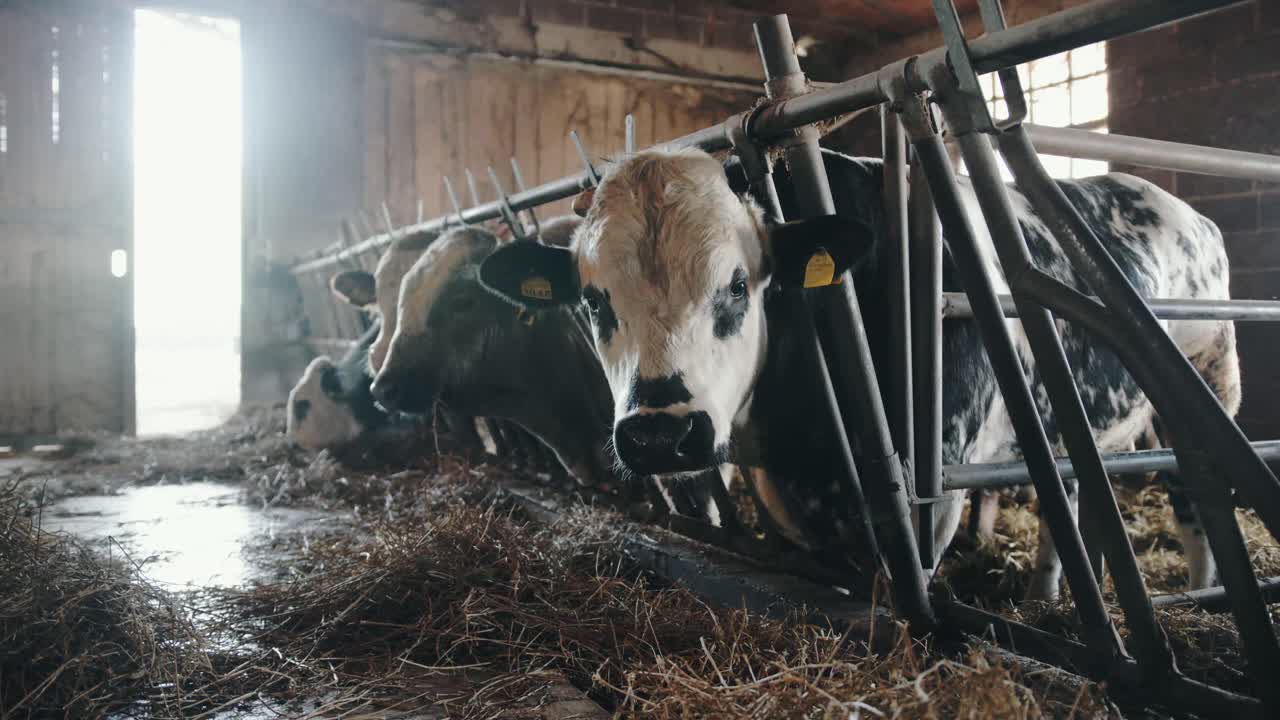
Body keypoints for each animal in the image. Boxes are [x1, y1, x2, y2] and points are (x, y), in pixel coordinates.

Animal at [479, 147, 1239, 600]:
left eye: (737, 284)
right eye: (592, 299)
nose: (661, 436)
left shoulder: (931, 496)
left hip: (1209, 379)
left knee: (1195, 488)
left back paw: (1203, 588)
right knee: (1074, 490)